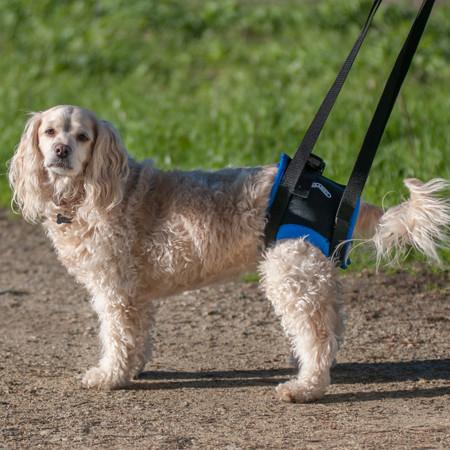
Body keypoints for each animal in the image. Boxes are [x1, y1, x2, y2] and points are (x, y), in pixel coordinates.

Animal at [7, 106, 450, 404]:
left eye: (83, 137)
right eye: (49, 131)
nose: (61, 150)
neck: (93, 193)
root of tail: (339, 197)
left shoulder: (116, 290)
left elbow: (116, 336)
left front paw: (109, 376)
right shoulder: (137, 295)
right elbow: (138, 337)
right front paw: (132, 369)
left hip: (291, 276)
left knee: (316, 337)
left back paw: (305, 387)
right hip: (311, 276)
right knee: (333, 329)